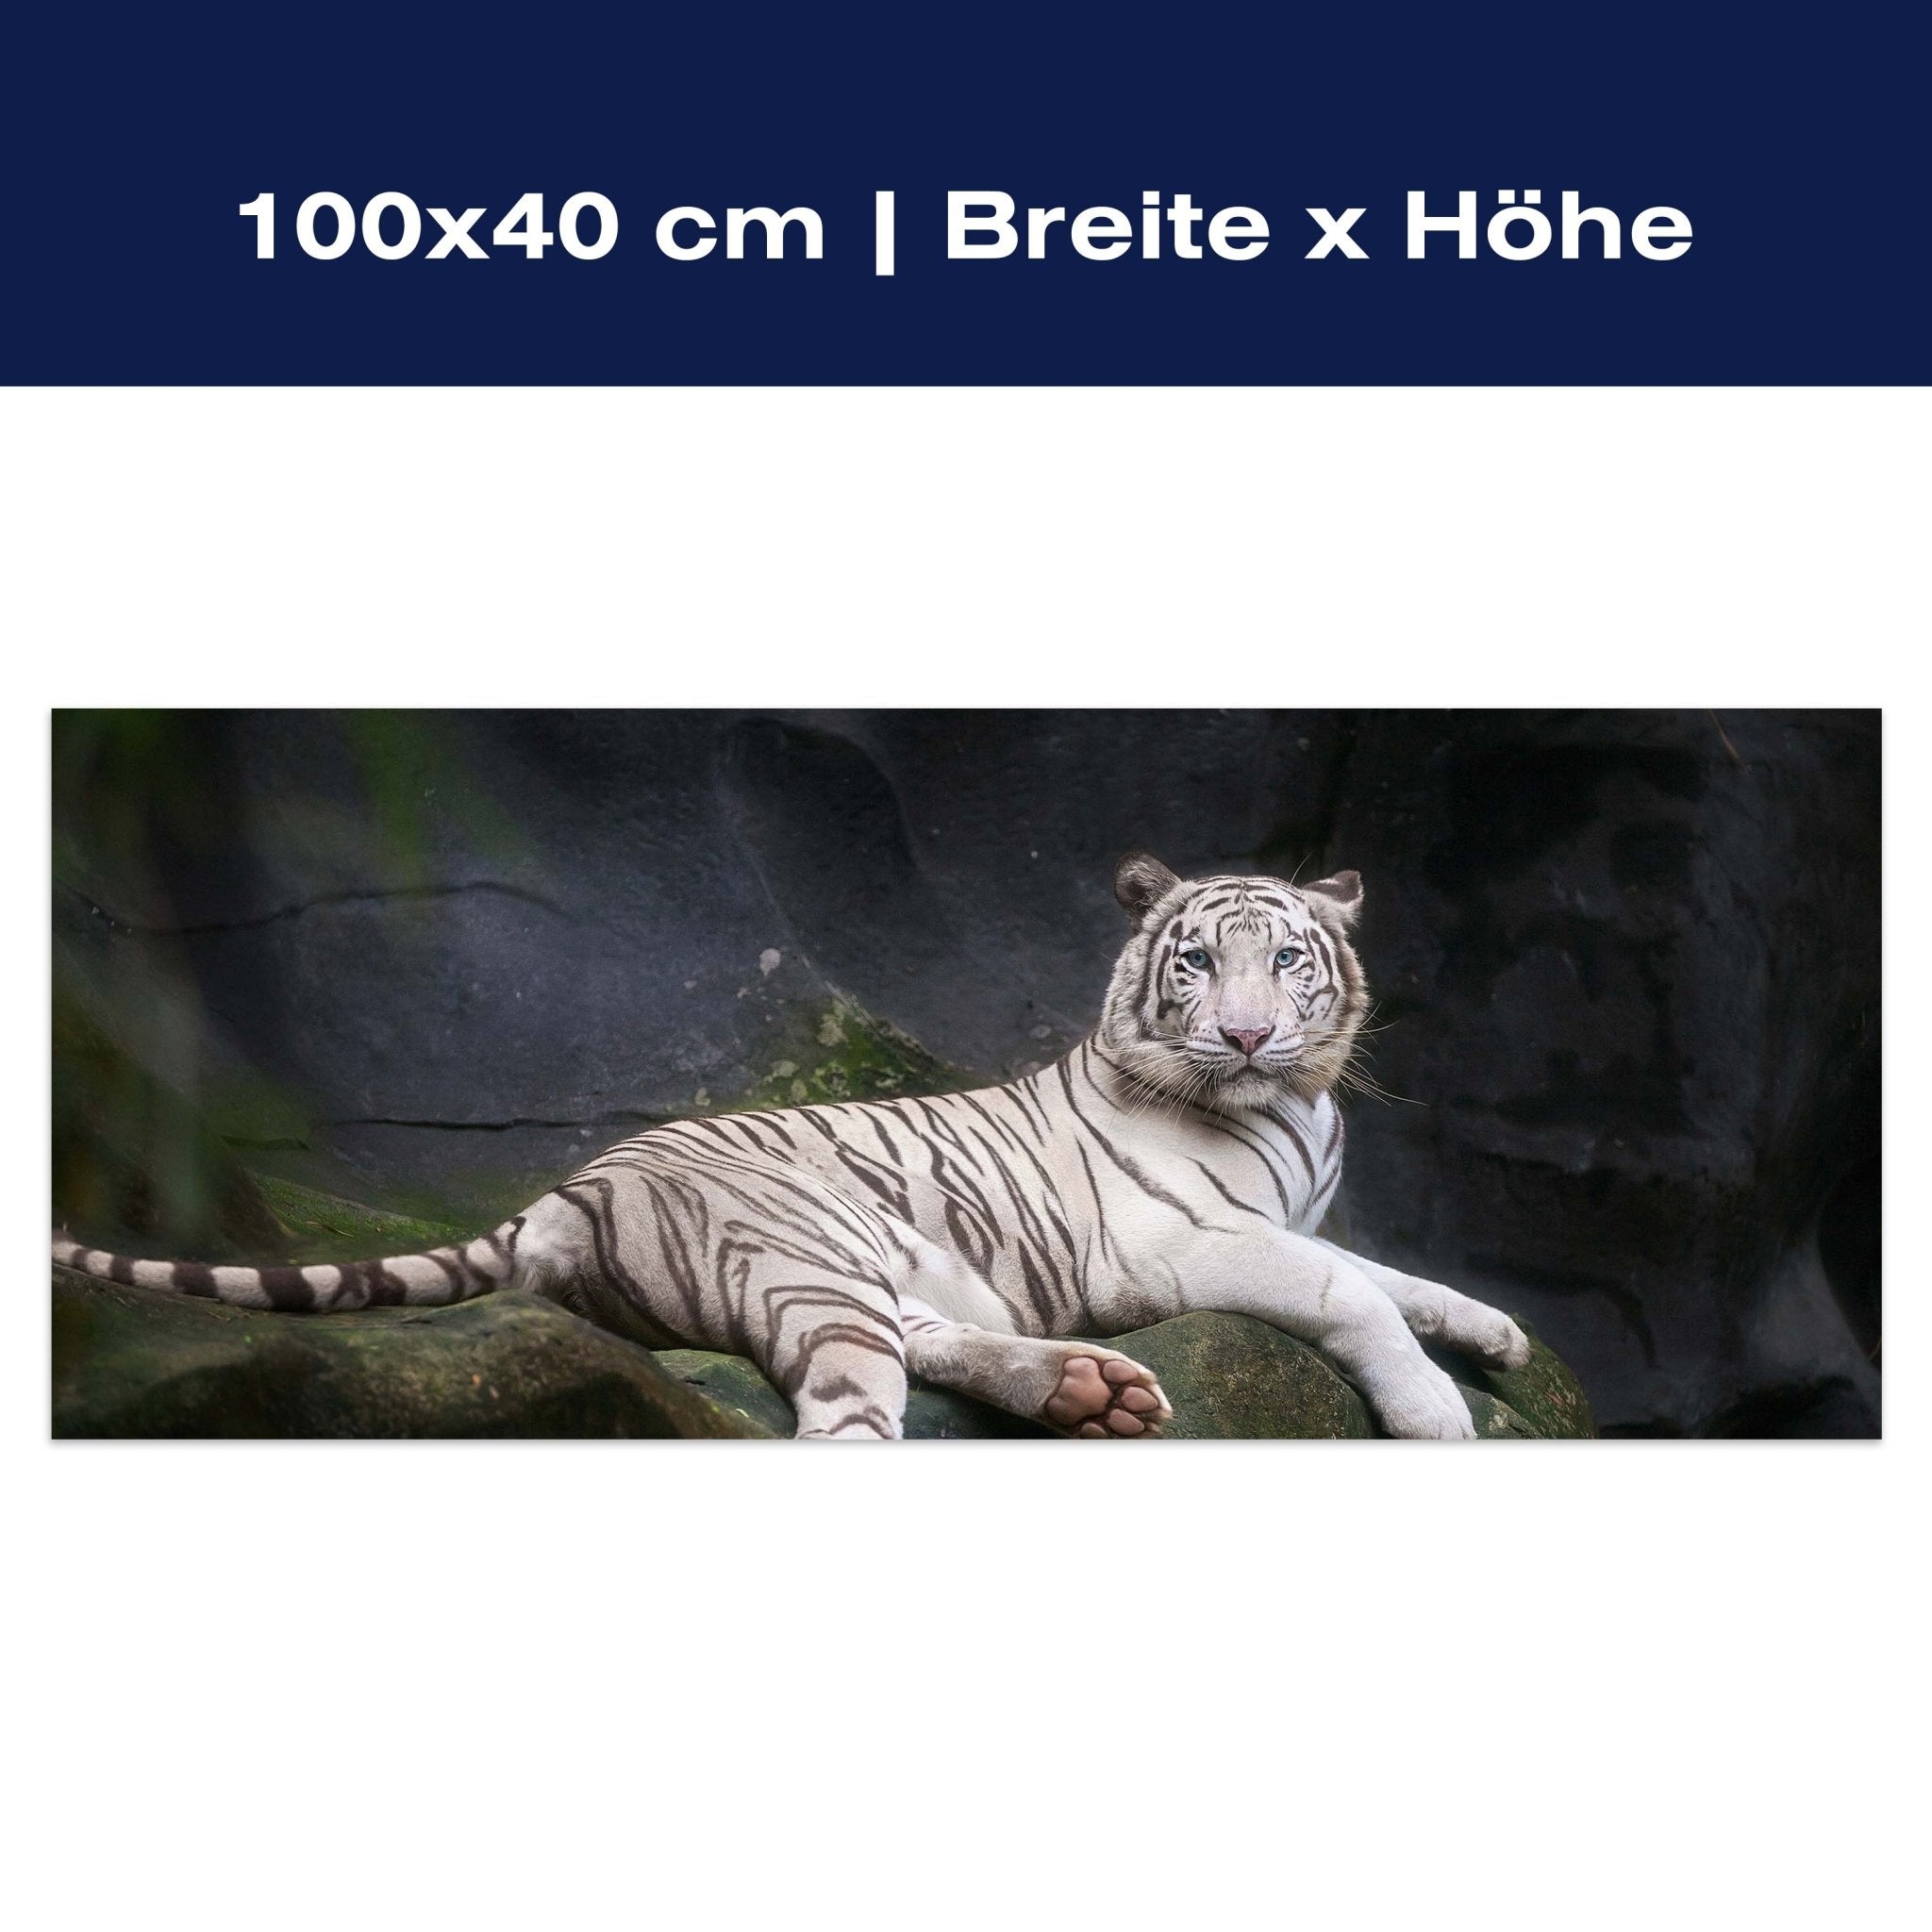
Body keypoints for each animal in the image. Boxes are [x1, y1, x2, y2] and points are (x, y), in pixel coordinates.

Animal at [52, 851, 1532, 1439]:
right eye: (1196, 964)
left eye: (1288, 959)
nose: (1244, 1035)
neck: (1297, 1109)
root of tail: (566, 1187)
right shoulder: (1179, 1244)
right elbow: (1349, 1293)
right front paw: (1438, 1415)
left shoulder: (1281, 1220)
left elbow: (1397, 1277)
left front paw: (1497, 1333)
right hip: (809, 1249)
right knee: (851, 1409)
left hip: (863, 1264)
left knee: (924, 1343)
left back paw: (1086, 1392)